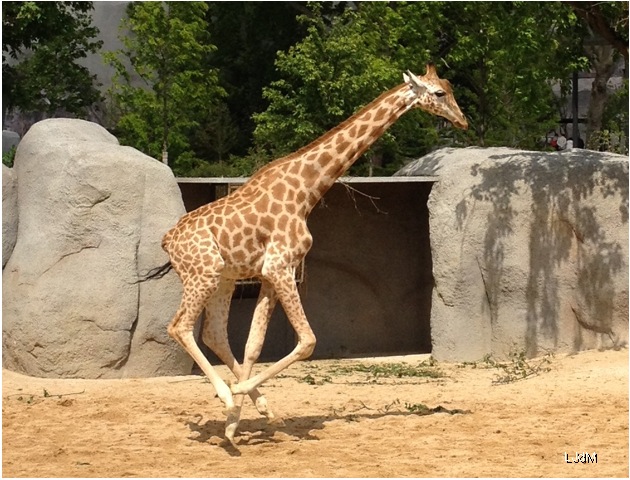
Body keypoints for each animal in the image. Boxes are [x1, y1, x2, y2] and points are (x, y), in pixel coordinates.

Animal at [157, 64, 466, 446]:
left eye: (449, 88)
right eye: (439, 93)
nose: (463, 121)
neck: (306, 192)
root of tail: (168, 240)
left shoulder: (270, 272)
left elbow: (254, 344)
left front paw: (237, 420)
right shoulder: (281, 266)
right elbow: (307, 340)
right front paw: (237, 398)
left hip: (225, 278)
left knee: (214, 333)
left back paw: (243, 406)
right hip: (204, 273)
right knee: (179, 326)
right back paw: (227, 394)